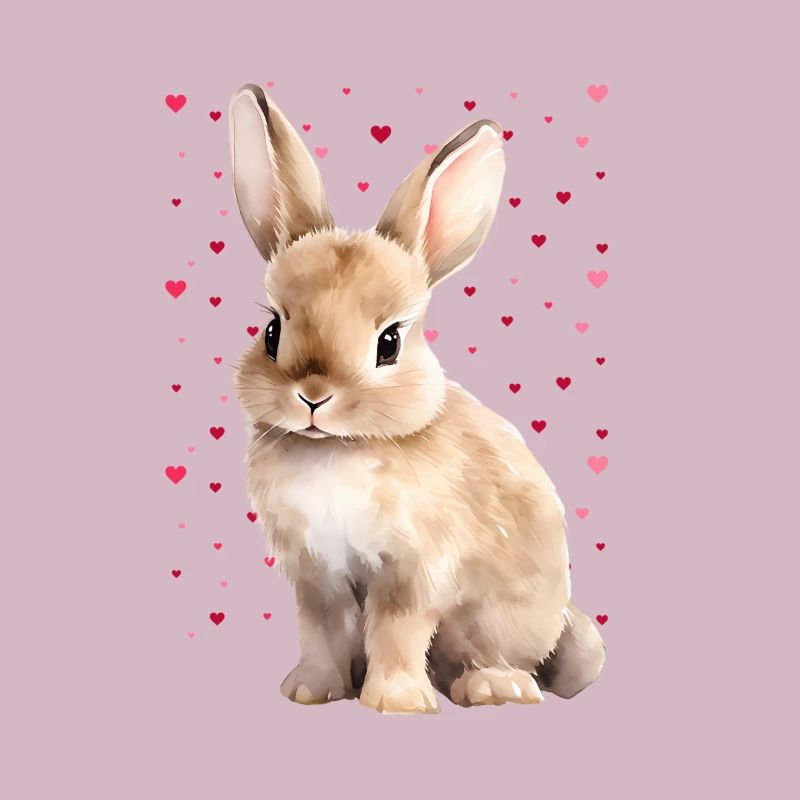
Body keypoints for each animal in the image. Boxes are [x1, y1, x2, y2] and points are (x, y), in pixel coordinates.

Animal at [228, 84, 606, 714]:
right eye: (272, 331)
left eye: (390, 342)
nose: (312, 396)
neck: (338, 449)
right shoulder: (316, 576)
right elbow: (322, 632)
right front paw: (309, 691)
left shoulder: (413, 569)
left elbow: (397, 630)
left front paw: (396, 703)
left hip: (497, 621)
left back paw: (492, 686)